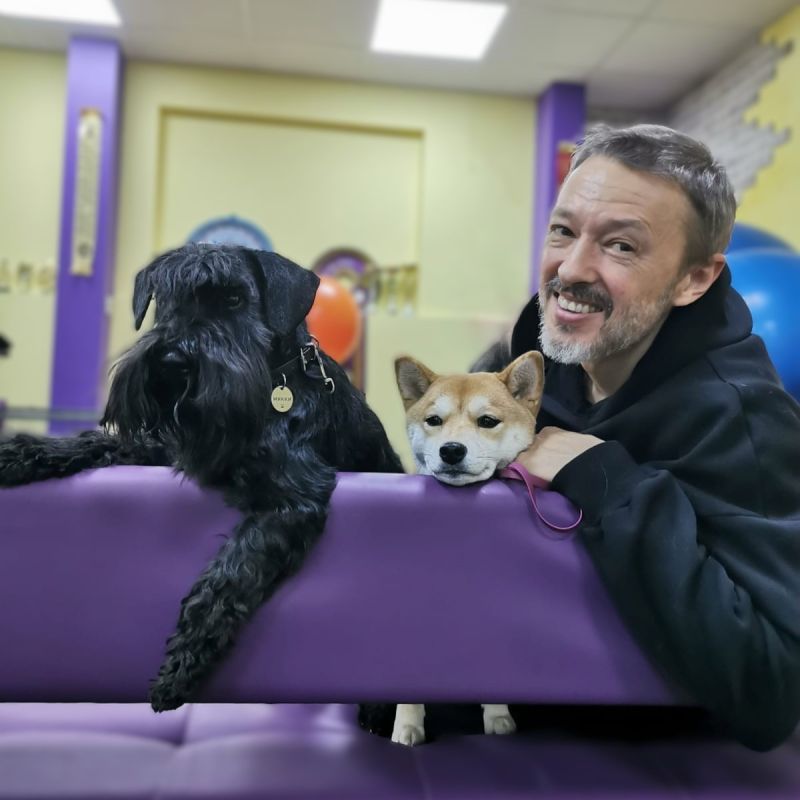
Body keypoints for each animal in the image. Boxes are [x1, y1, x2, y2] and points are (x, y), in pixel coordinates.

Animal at [0, 243, 403, 712]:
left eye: (234, 299)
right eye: (165, 299)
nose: (171, 361)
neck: (274, 379)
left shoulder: (292, 500)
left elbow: (229, 575)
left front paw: (181, 664)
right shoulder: (167, 449)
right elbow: (96, 441)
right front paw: (20, 453)